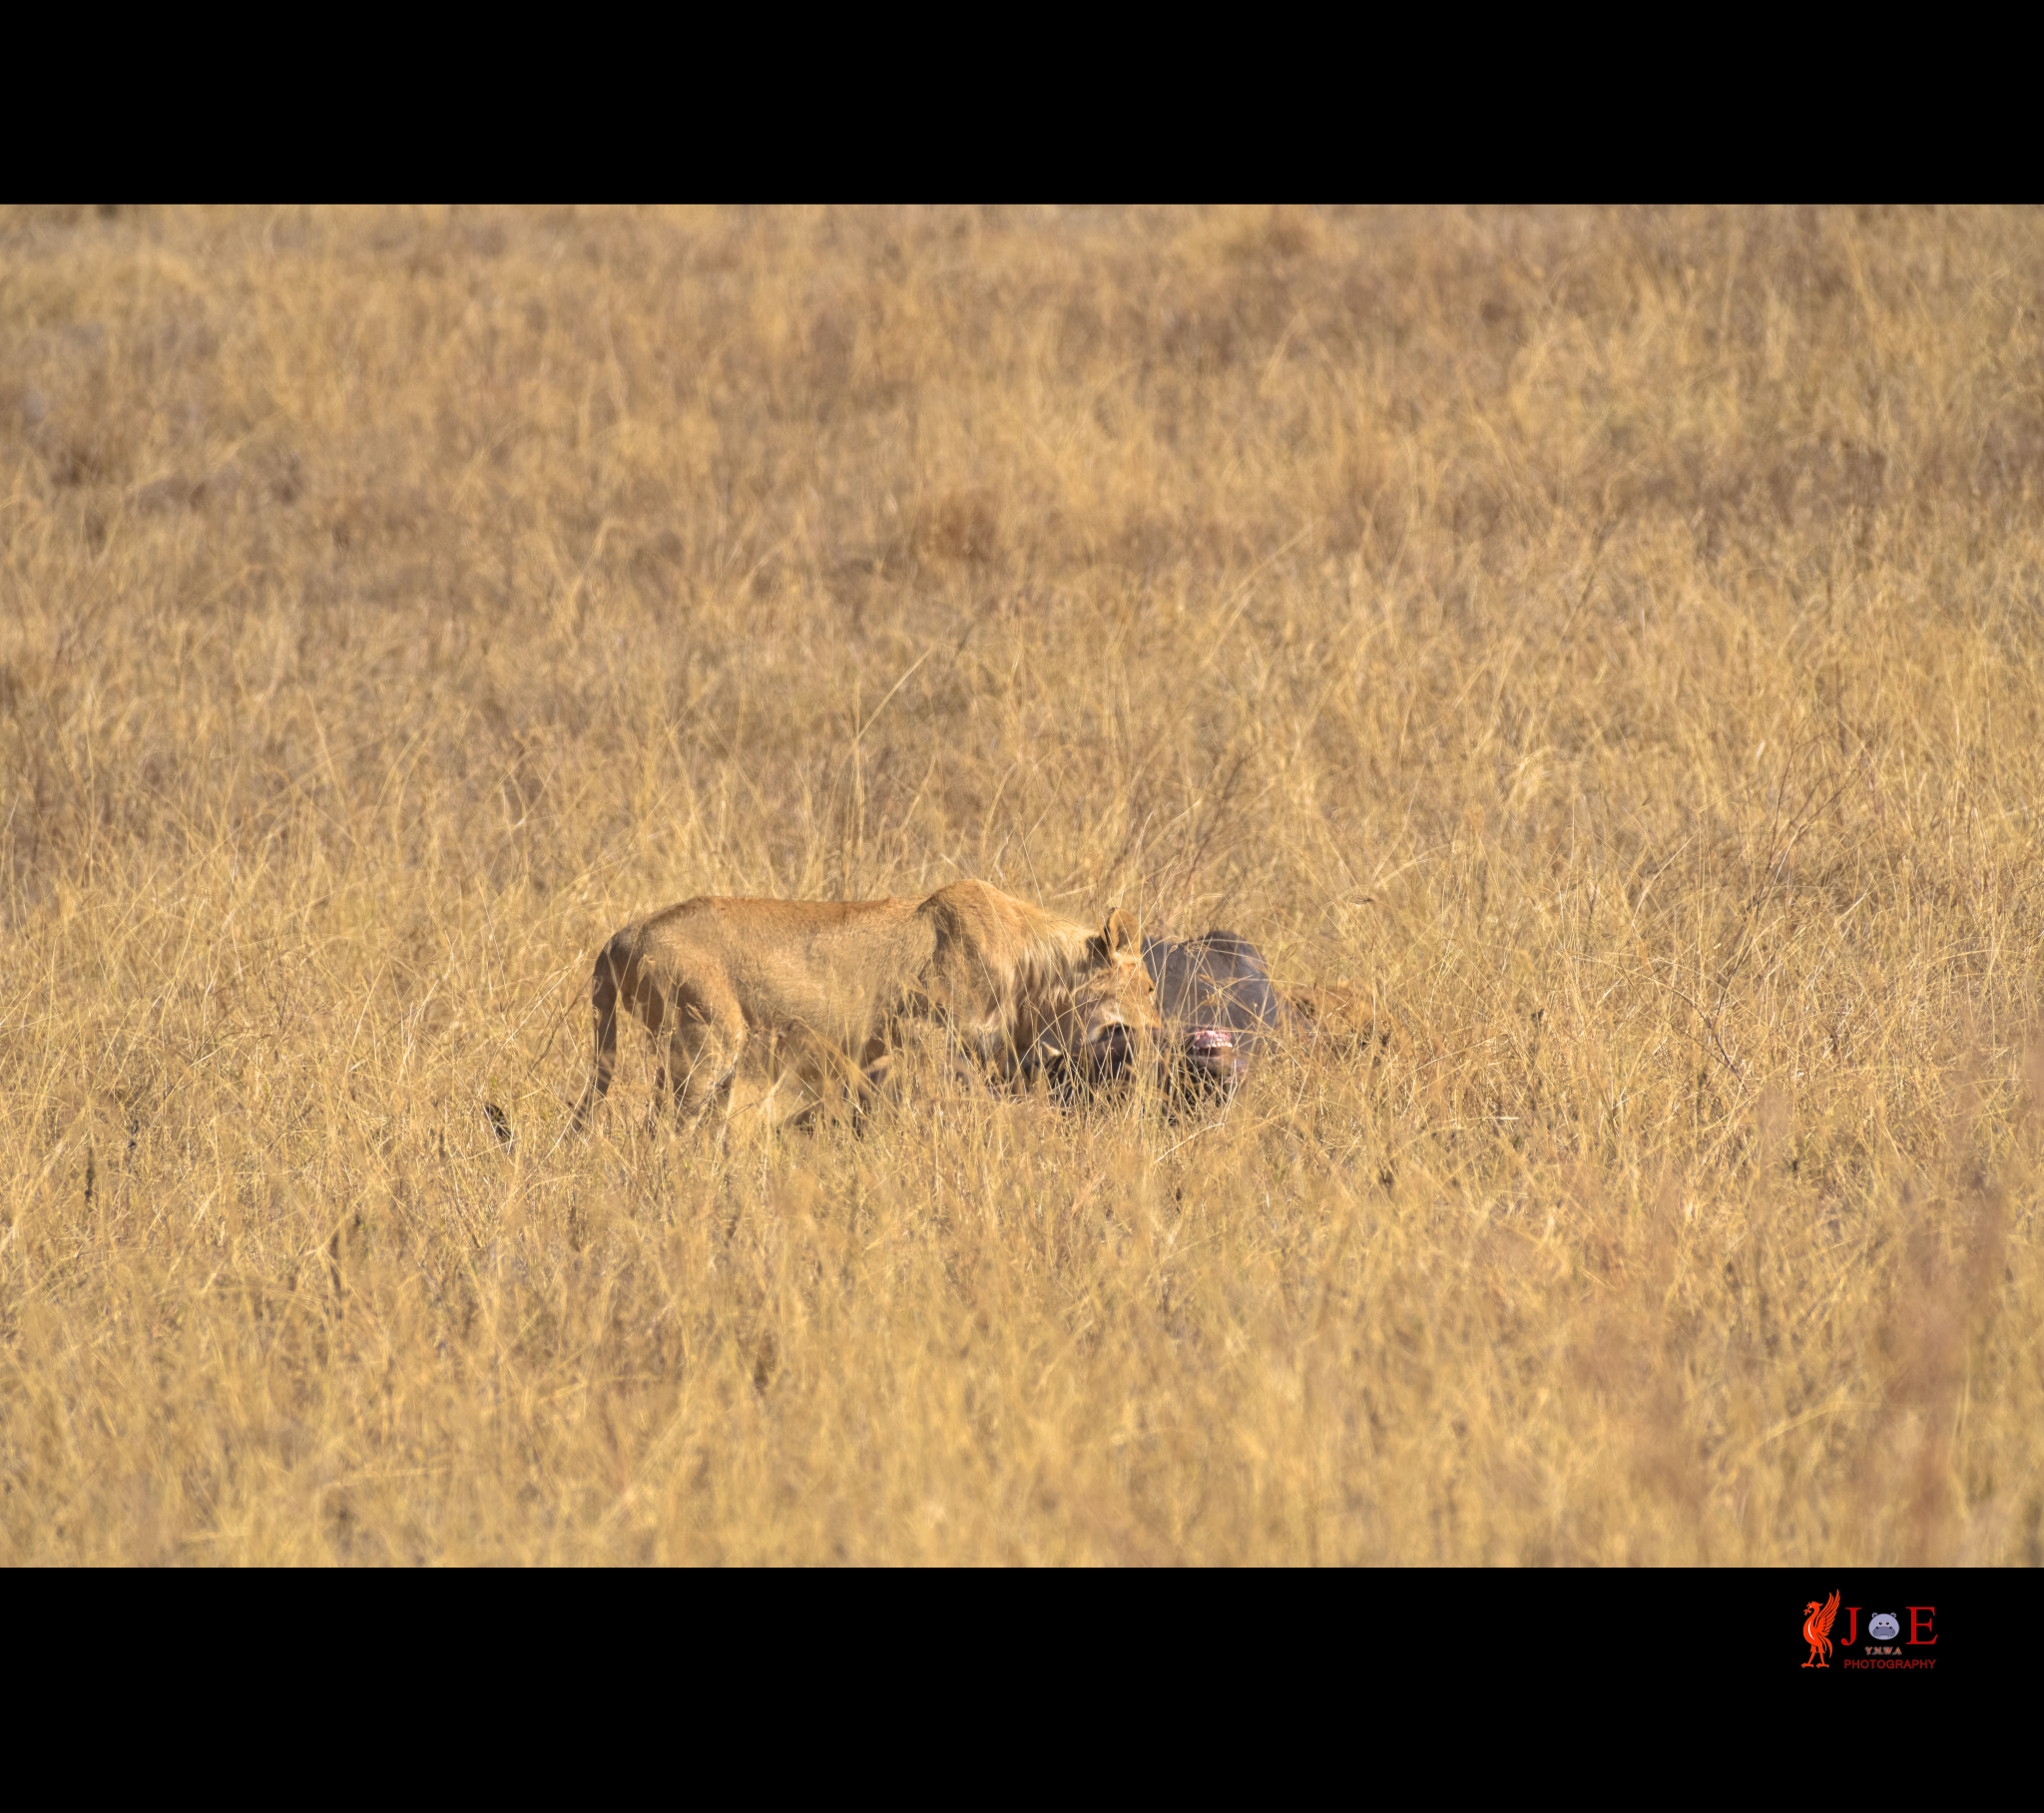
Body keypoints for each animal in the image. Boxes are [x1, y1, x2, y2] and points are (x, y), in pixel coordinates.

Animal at [568, 882, 1161, 1135]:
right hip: (707, 1036)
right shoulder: (926, 1039)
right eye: (1153, 989)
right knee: (662, 1129)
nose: (1160, 1030)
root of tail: (621, 935)